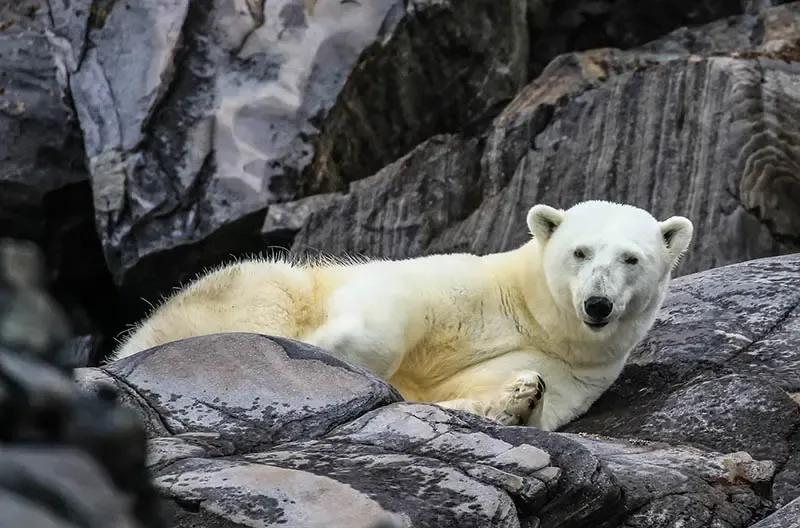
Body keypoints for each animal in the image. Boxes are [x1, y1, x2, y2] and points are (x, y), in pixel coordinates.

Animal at [112, 200, 693, 431]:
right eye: (580, 251)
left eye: (631, 258)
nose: (597, 304)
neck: (536, 316)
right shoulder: (463, 283)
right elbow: (397, 302)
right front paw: (334, 351)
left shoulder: (579, 369)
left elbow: (492, 392)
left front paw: (519, 394)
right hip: (241, 290)